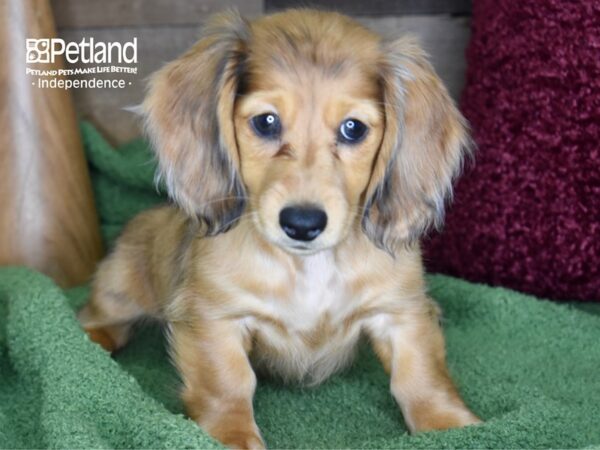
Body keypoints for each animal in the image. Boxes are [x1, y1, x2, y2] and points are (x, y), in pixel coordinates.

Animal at [81, 8, 482, 448]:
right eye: (266, 122)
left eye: (354, 128)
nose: (302, 223)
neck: (308, 268)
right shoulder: (215, 319)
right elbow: (228, 385)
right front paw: (232, 435)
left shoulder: (401, 312)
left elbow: (420, 376)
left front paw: (449, 424)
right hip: (119, 287)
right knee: (97, 316)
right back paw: (91, 340)